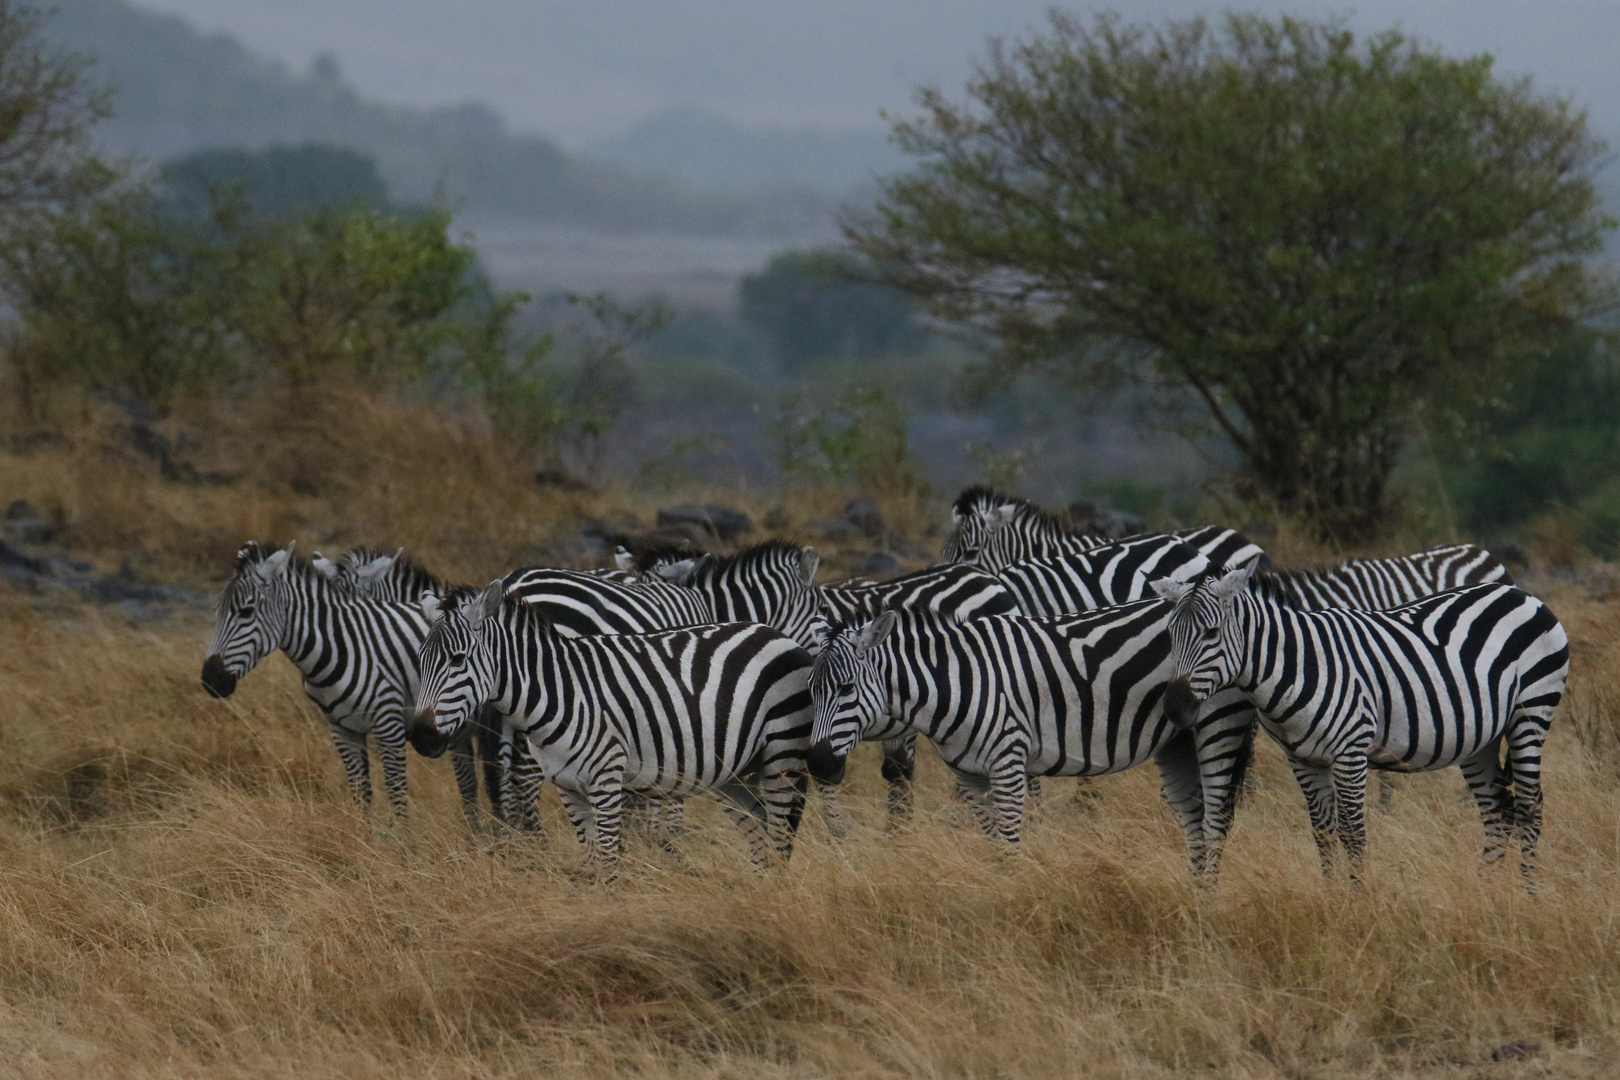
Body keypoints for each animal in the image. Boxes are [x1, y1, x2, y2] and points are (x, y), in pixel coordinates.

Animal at [405, 582, 810, 867]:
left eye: (458, 659)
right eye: (420, 659)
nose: (421, 737)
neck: (561, 691)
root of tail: (772, 632)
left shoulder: (606, 779)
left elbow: (611, 861)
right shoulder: (567, 786)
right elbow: (593, 862)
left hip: (782, 755)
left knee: (781, 839)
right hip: (735, 772)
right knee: (760, 833)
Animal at [1159, 563, 1561, 880]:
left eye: (1211, 633)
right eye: (1169, 635)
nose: (1175, 707)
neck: (1299, 665)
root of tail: (1517, 591)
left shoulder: (1350, 752)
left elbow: (1353, 833)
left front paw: (1358, 902)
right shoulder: (1302, 759)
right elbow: (1322, 832)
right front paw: (1332, 899)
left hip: (1531, 713)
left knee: (1530, 806)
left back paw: (1527, 893)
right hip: (1482, 737)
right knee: (1497, 809)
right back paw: (1486, 890)